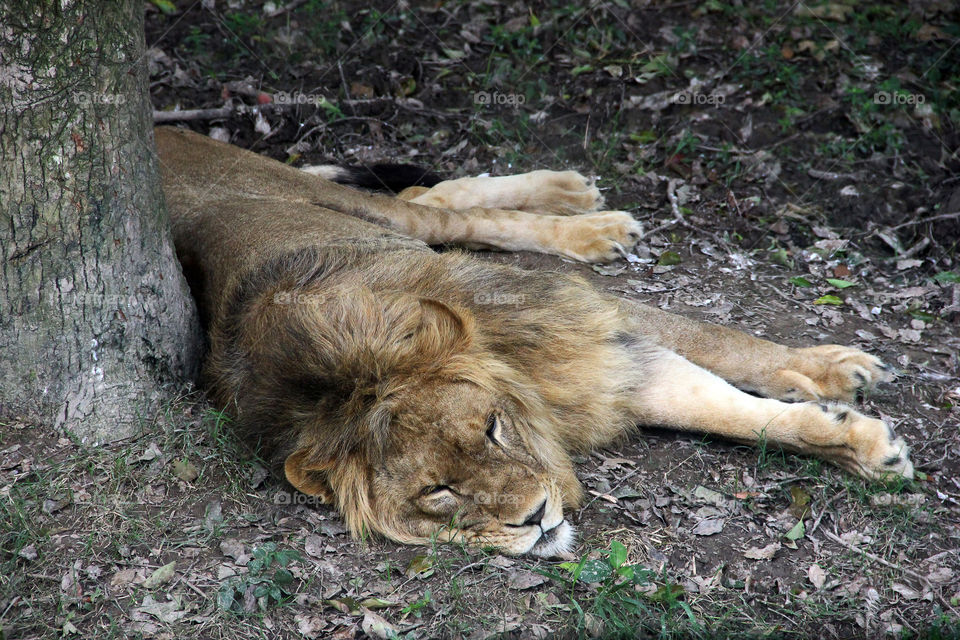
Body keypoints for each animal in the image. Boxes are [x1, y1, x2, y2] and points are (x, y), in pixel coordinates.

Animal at [156, 127, 916, 556]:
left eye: (494, 428)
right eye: (438, 490)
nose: (537, 517)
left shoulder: (583, 327)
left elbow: (725, 353)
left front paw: (835, 379)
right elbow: (730, 412)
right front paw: (858, 442)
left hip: (340, 205)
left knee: (448, 211)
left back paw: (582, 209)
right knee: (439, 198)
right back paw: (577, 200)